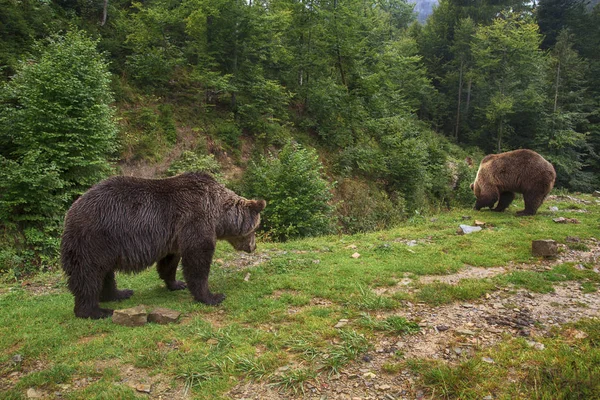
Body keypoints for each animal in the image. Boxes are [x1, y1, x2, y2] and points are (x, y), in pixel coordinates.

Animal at [62, 172, 266, 318]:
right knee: (89, 275)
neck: (218, 214)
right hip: (95, 239)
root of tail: (70, 213)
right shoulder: (195, 219)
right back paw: (96, 311)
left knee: (105, 273)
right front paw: (213, 296)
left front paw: (176, 283)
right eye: (256, 228)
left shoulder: (173, 235)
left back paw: (119, 293)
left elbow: (169, 261)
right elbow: (198, 260)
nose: (253, 247)